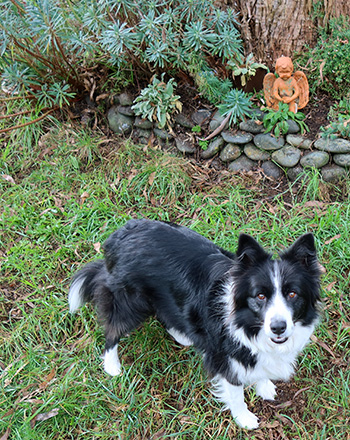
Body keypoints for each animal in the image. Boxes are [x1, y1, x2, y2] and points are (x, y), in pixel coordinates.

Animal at [69, 220, 322, 430]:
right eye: (260, 296)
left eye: (292, 294)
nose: (278, 327)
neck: (246, 322)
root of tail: (117, 236)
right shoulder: (224, 357)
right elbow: (236, 391)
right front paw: (244, 418)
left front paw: (264, 385)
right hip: (130, 302)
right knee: (113, 329)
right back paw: (112, 366)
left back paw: (183, 336)